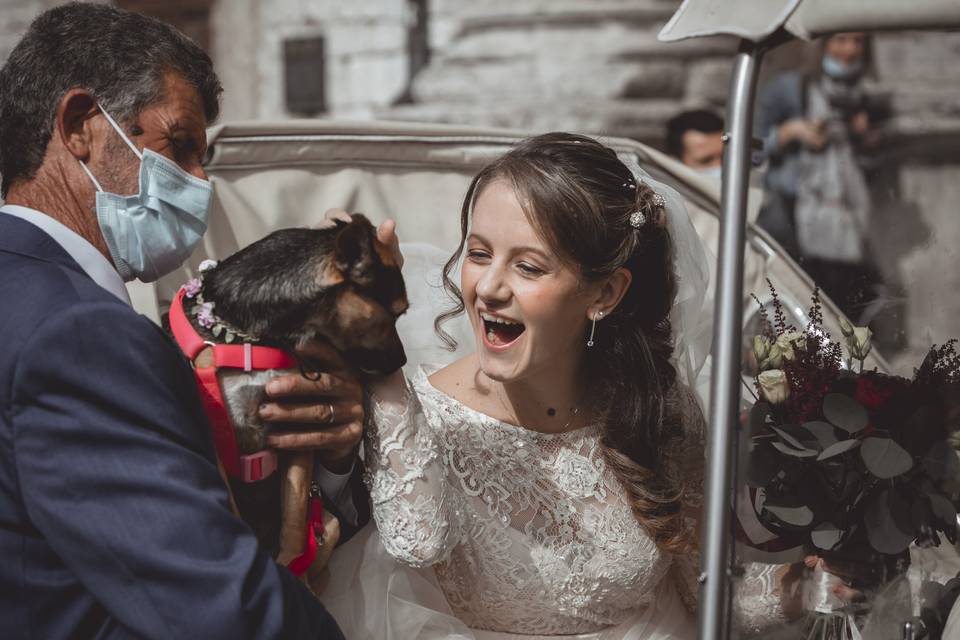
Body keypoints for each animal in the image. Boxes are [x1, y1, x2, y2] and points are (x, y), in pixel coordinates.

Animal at [174, 215, 406, 592]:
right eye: (396, 314)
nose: (402, 361)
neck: (253, 338)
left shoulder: (296, 433)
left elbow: (295, 526)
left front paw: (296, 573)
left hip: (331, 521)